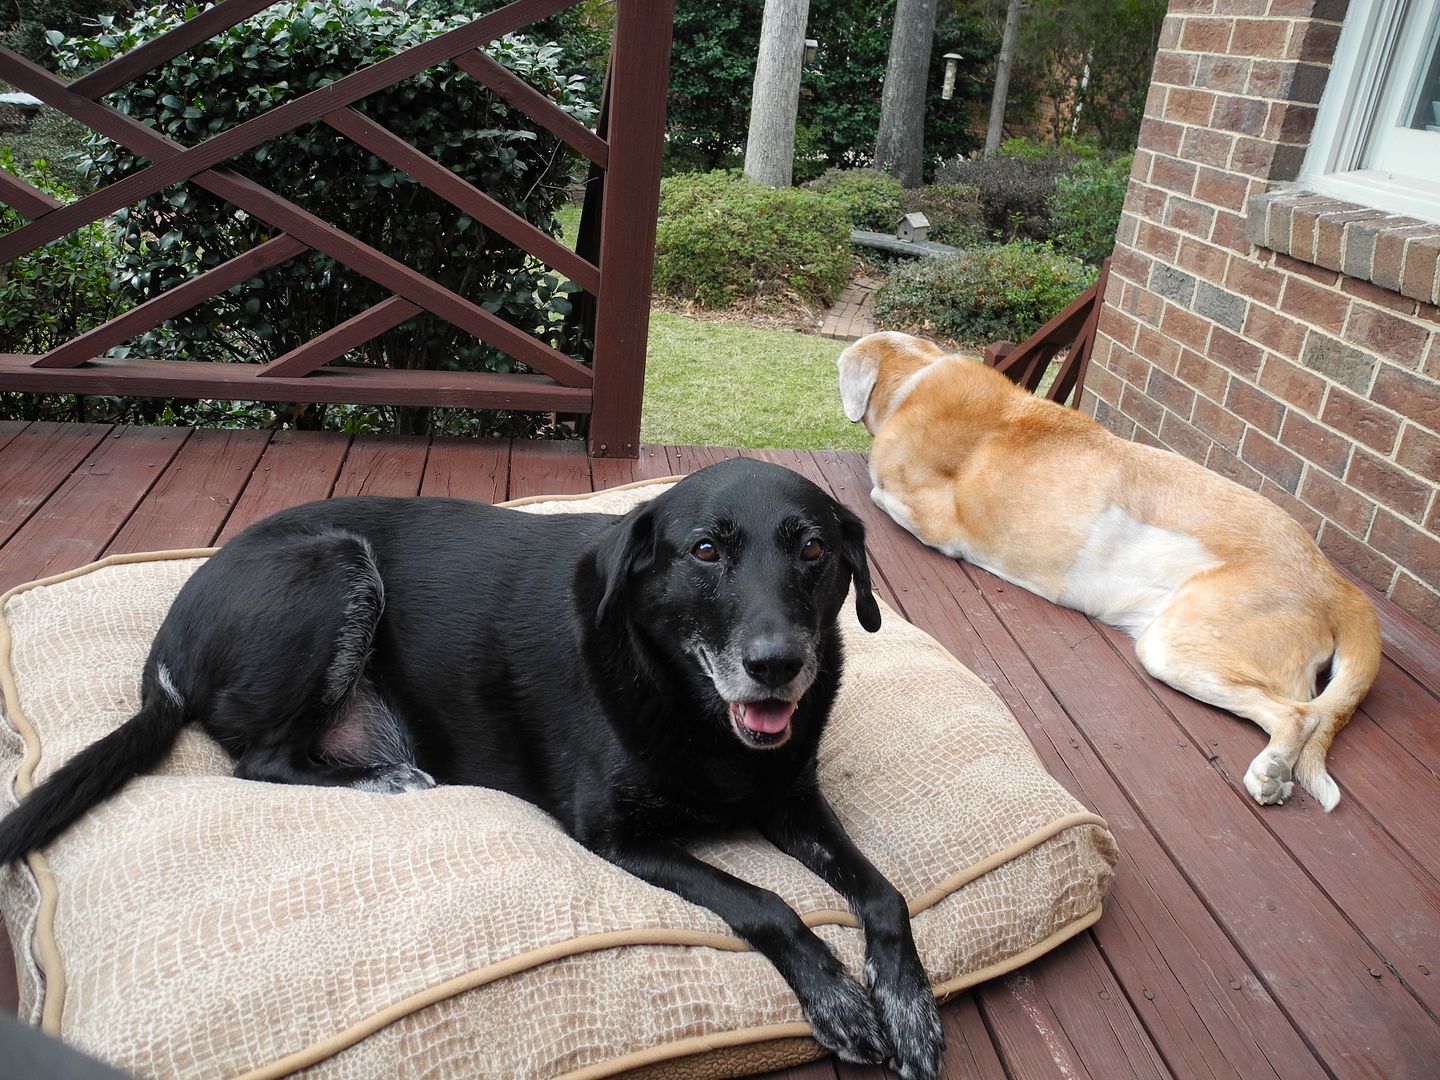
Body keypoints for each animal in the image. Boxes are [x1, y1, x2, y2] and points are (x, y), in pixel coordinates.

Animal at [0, 457, 944, 1080]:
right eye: (706, 552)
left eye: (814, 550)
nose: (779, 665)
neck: (688, 701)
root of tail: (165, 644)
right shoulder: (612, 836)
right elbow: (764, 903)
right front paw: (838, 1000)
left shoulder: (792, 799)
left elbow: (884, 895)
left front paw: (909, 1008)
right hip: (337, 563)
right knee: (261, 761)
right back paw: (388, 778)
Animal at [840, 329, 1382, 812]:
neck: (914, 378)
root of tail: (1336, 583)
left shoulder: (927, 517)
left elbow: (877, 494)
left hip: (1174, 645)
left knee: (1299, 716)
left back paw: (1270, 772)